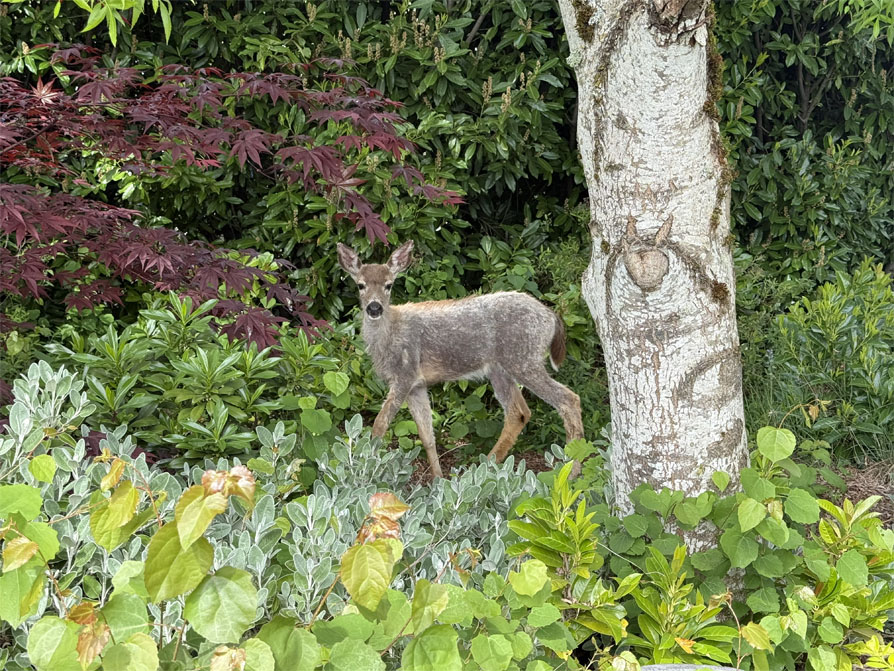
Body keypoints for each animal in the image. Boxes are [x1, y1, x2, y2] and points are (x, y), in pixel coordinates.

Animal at [337, 240, 584, 479]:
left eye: (388, 285)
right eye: (360, 285)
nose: (374, 307)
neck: (389, 337)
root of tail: (551, 316)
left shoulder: (405, 374)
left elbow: (380, 424)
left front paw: (364, 470)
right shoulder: (417, 385)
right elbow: (427, 436)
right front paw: (438, 480)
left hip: (524, 359)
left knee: (568, 399)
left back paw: (570, 472)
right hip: (500, 369)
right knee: (519, 413)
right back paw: (486, 468)